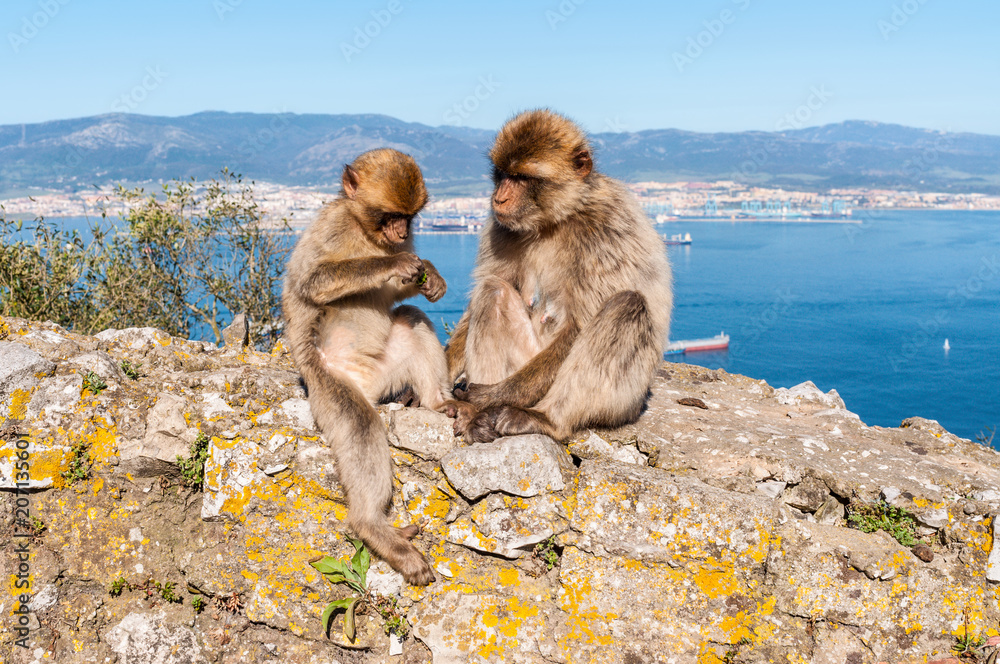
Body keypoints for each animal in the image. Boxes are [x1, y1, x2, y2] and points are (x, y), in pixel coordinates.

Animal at [283, 148, 450, 586]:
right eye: (388, 215)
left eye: (409, 217)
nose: (401, 233)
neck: (365, 231)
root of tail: (369, 386)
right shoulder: (331, 226)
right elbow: (314, 281)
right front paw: (395, 263)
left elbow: (396, 297)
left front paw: (431, 276)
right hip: (330, 387)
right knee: (361, 428)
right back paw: (373, 526)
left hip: (387, 369)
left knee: (411, 321)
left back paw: (438, 403)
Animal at [446, 109, 672, 445]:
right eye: (502, 174)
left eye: (522, 178)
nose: (498, 198)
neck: (554, 220)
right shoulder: (498, 228)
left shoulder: (604, 233)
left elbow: (578, 326)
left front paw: (490, 396)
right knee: (493, 289)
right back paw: (476, 418)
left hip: (623, 401)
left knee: (627, 305)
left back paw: (544, 419)